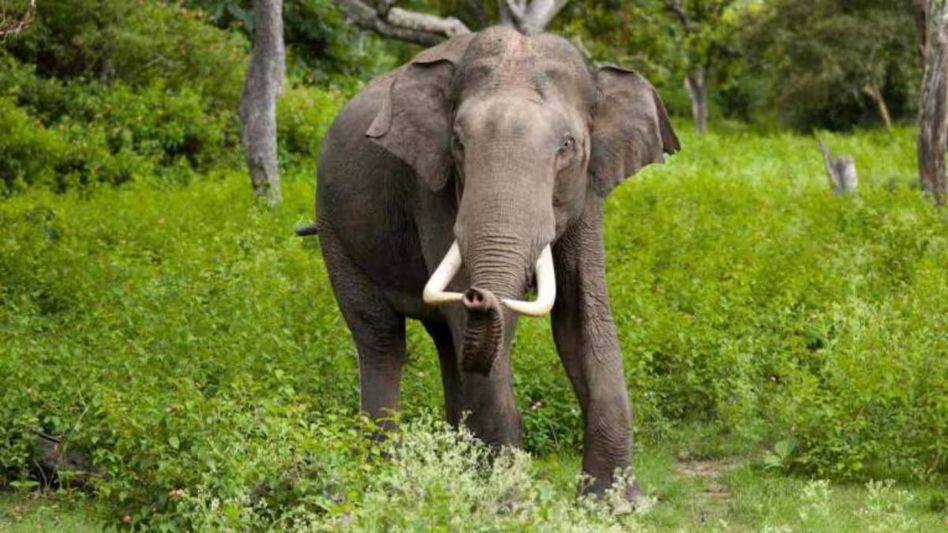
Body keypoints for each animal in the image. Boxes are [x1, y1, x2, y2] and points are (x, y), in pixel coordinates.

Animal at [303, 26, 679, 498]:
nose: (478, 295)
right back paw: (385, 480)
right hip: (335, 230)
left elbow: (581, 316)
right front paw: (506, 503)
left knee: (447, 343)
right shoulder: (432, 187)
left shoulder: (588, 191)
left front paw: (615, 504)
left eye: (567, 147)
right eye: (458, 144)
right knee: (382, 339)